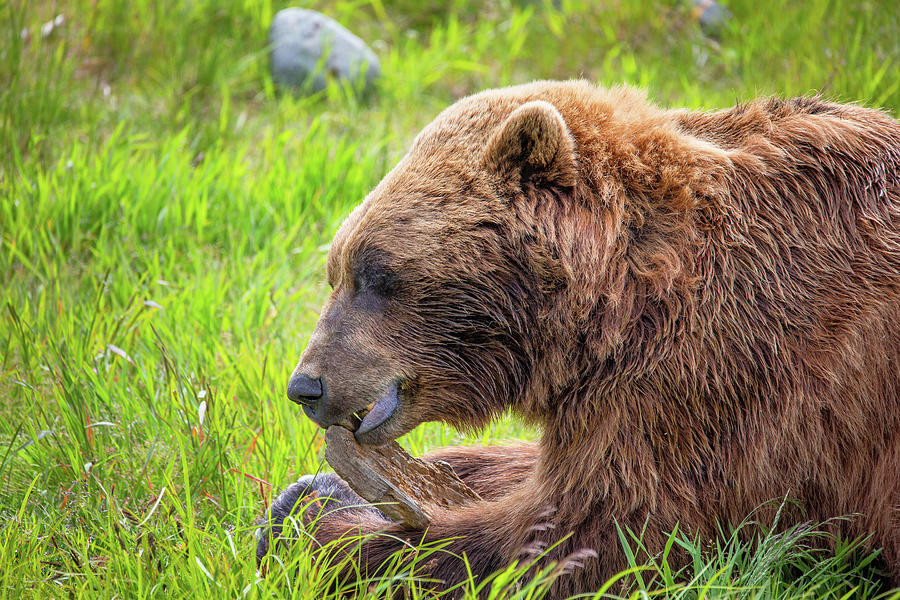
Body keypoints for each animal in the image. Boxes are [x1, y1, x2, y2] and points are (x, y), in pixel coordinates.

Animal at [258, 79, 900, 596]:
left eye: (375, 274)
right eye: (336, 271)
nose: (306, 386)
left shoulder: (729, 367)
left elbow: (584, 534)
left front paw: (319, 527)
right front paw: (312, 488)